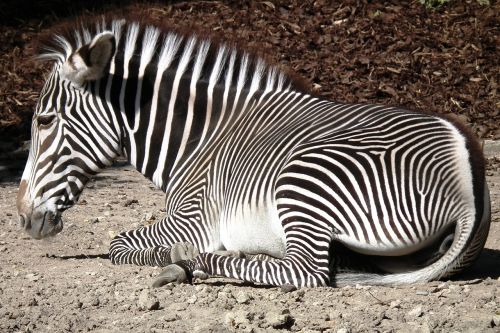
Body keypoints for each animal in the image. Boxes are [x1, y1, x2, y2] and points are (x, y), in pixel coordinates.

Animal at [15, 17, 488, 288]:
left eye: (44, 121)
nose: (23, 219)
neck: (197, 138)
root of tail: (467, 177)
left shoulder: (192, 218)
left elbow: (117, 243)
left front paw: (171, 255)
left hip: (304, 178)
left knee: (306, 272)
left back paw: (193, 263)